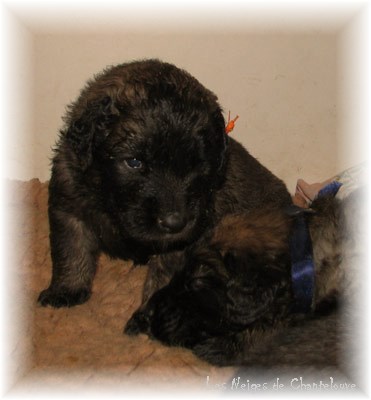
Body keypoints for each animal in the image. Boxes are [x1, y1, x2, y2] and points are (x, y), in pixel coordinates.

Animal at [38, 58, 290, 310]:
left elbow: (162, 276)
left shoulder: (179, 243)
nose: (175, 223)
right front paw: (65, 290)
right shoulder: (68, 203)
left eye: (199, 164)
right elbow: (71, 251)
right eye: (134, 162)